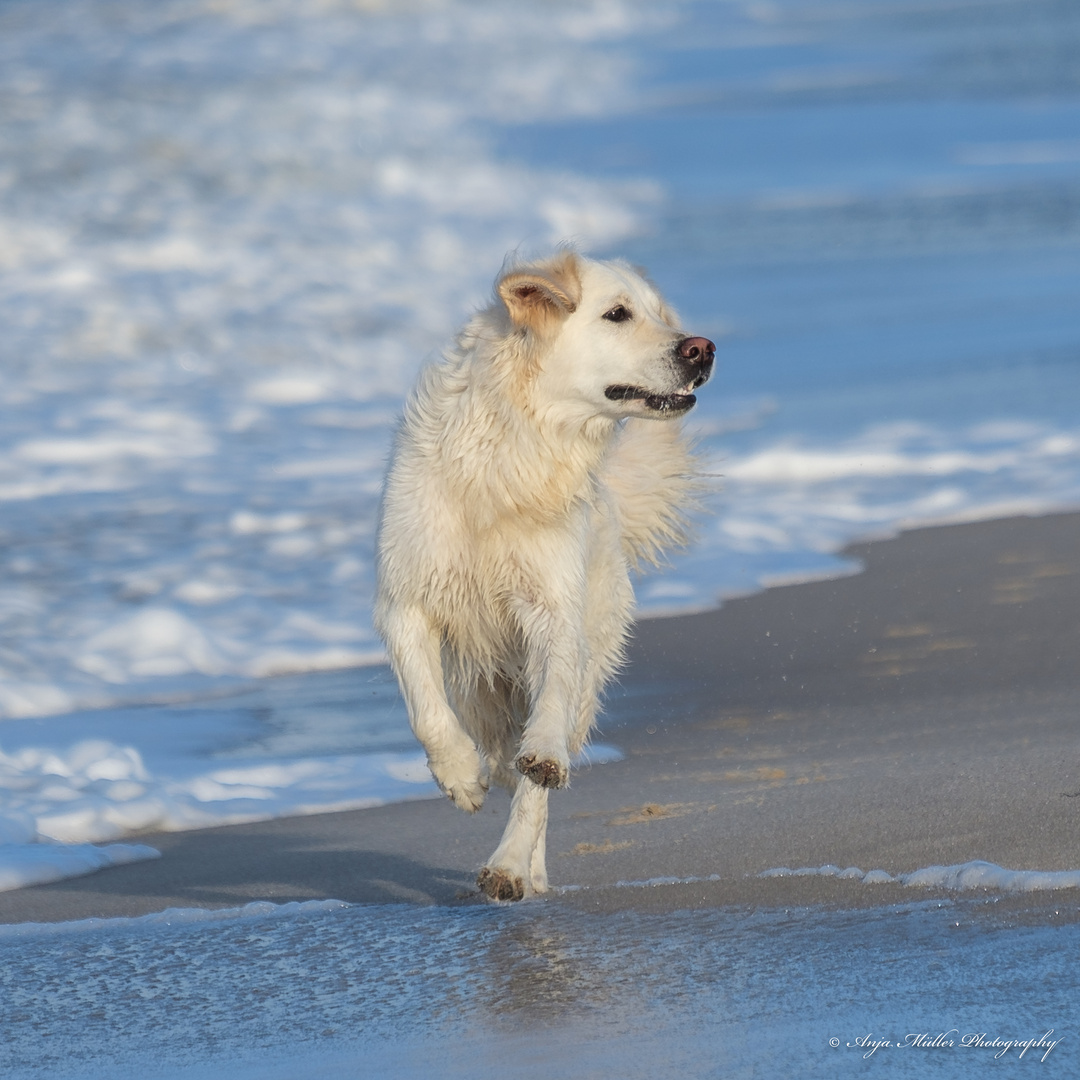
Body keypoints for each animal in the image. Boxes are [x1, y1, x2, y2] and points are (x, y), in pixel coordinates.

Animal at [375, 248, 712, 898]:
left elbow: (548, 725)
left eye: (661, 315)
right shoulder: (405, 597)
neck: (520, 448)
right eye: (617, 314)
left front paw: (540, 765)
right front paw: (460, 776)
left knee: (534, 782)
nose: (702, 348)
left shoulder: (554, 607)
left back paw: (514, 868)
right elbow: (427, 709)